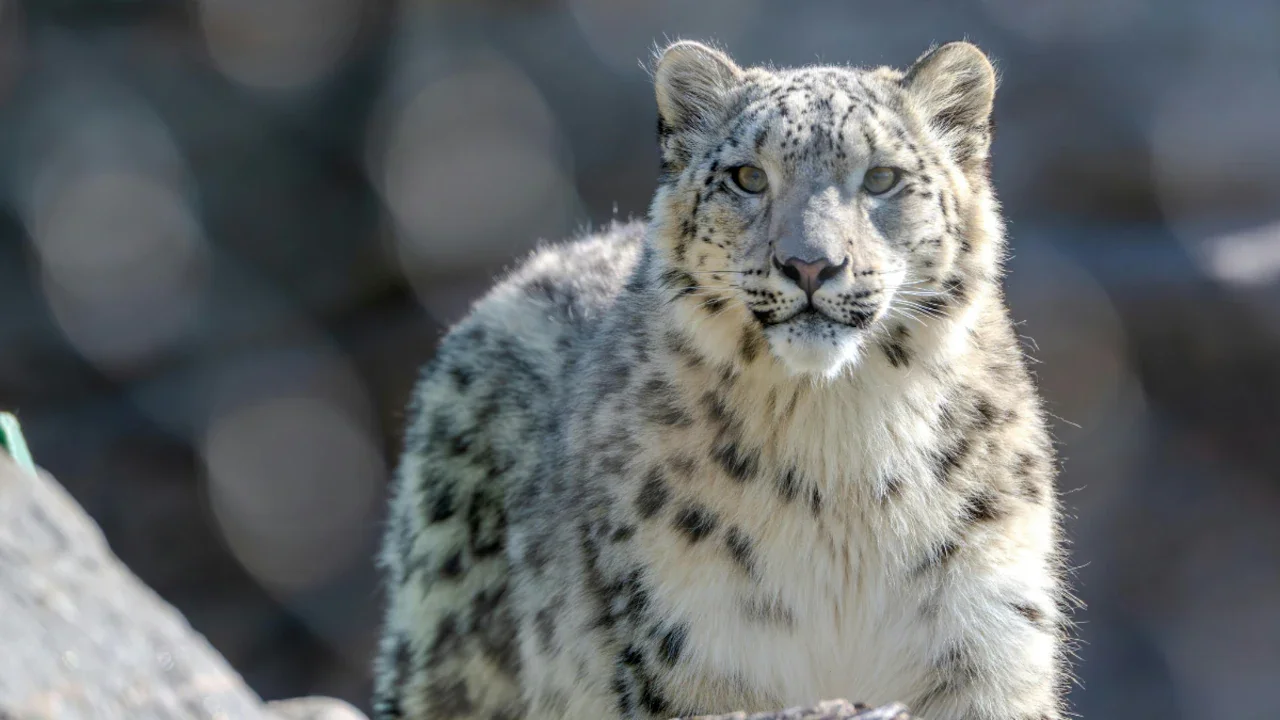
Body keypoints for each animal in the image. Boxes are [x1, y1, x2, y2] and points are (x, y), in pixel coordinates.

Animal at [372, 39, 1073, 720]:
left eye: (882, 178)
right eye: (748, 177)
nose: (810, 265)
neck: (840, 446)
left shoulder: (987, 629)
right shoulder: (693, 639)